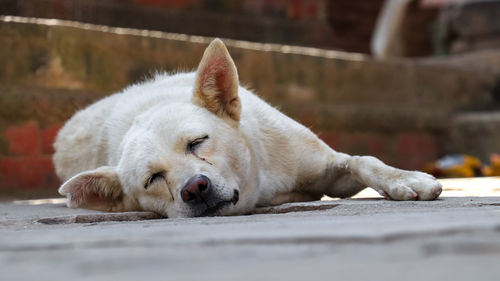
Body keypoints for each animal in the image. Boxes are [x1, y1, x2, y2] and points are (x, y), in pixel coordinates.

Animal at [53, 37, 442, 217]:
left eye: (198, 142)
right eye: (152, 179)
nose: (194, 188)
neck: (263, 181)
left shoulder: (330, 170)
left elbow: (364, 160)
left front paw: (406, 179)